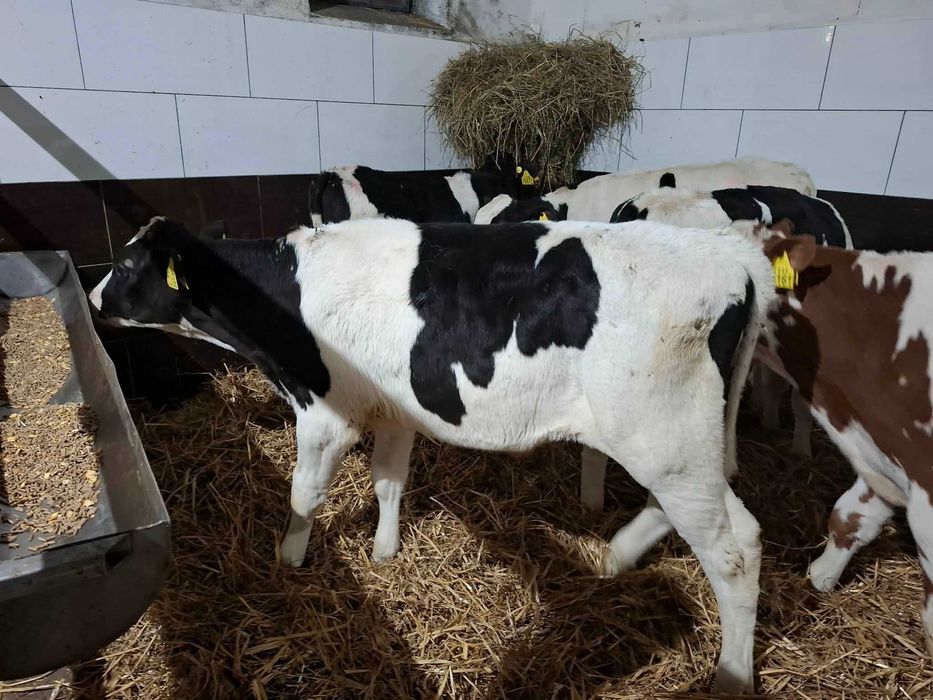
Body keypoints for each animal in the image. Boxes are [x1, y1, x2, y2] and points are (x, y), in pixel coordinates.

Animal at [90, 215, 775, 693]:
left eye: (126, 263)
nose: (94, 300)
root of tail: (727, 253)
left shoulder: (324, 414)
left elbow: (304, 492)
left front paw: (289, 559)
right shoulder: (396, 412)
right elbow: (389, 481)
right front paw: (385, 552)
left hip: (668, 439)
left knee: (735, 550)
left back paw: (731, 675)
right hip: (682, 443)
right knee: (708, 510)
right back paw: (615, 555)